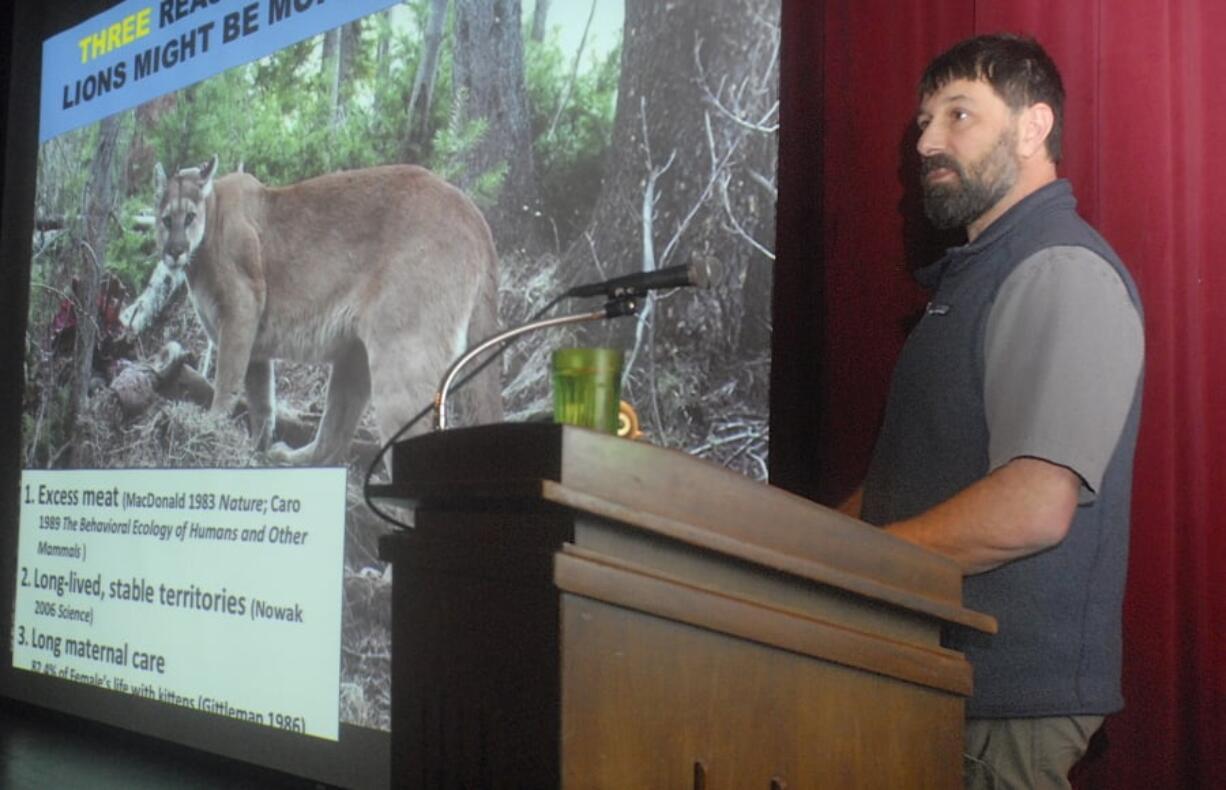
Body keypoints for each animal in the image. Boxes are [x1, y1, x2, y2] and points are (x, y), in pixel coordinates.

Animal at [145, 154, 500, 463]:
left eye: (189, 217)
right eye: (166, 220)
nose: (174, 251)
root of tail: (474, 213)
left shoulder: (240, 311)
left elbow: (227, 381)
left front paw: (208, 428)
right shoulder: (255, 345)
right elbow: (262, 400)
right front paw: (255, 449)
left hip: (402, 356)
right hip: (355, 355)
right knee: (334, 437)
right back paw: (290, 458)